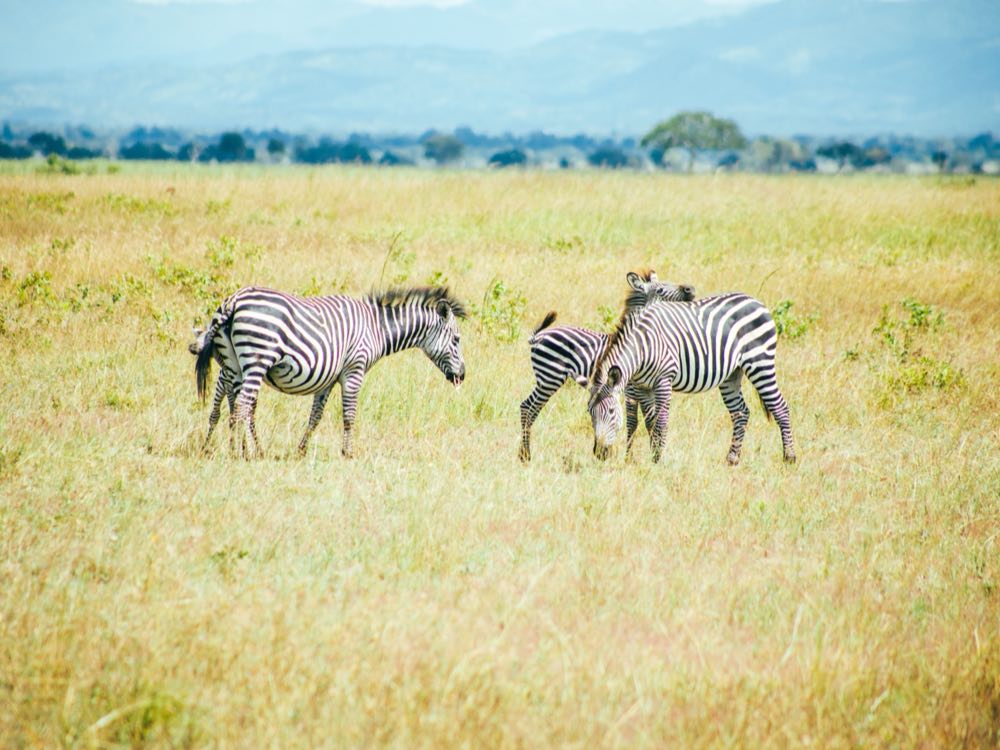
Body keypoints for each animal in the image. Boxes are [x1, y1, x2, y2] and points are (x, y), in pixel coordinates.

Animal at [189, 285, 467, 458]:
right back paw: (245, 453)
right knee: (243, 406)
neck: (376, 328)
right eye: (456, 340)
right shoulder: (354, 370)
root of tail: (233, 300)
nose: (462, 376)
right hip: (257, 358)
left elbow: (315, 416)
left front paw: (301, 450)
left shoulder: (328, 378)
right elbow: (349, 415)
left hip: (233, 365)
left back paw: (240, 449)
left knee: (236, 405)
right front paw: (348, 453)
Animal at [518, 271, 695, 462]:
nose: (691, 290)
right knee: (529, 408)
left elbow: (649, 421)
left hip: (546, 379)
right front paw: (628, 459)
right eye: (661, 289)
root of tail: (539, 337)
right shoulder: (631, 389)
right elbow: (633, 422)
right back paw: (525, 455)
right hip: (549, 378)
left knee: (529, 407)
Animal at [586, 291, 796, 465]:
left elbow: (661, 423)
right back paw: (732, 458)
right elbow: (650, 422)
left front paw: (658, 461)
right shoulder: (643, 387)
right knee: (741, 412)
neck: (642, 347)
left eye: (611, 411)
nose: (599, 453)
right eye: (590, 412)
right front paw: (653, 456)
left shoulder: (663, 380)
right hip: (731, 374)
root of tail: (757, 302)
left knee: (780, 407)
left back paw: (789, 457)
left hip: (760, 362)